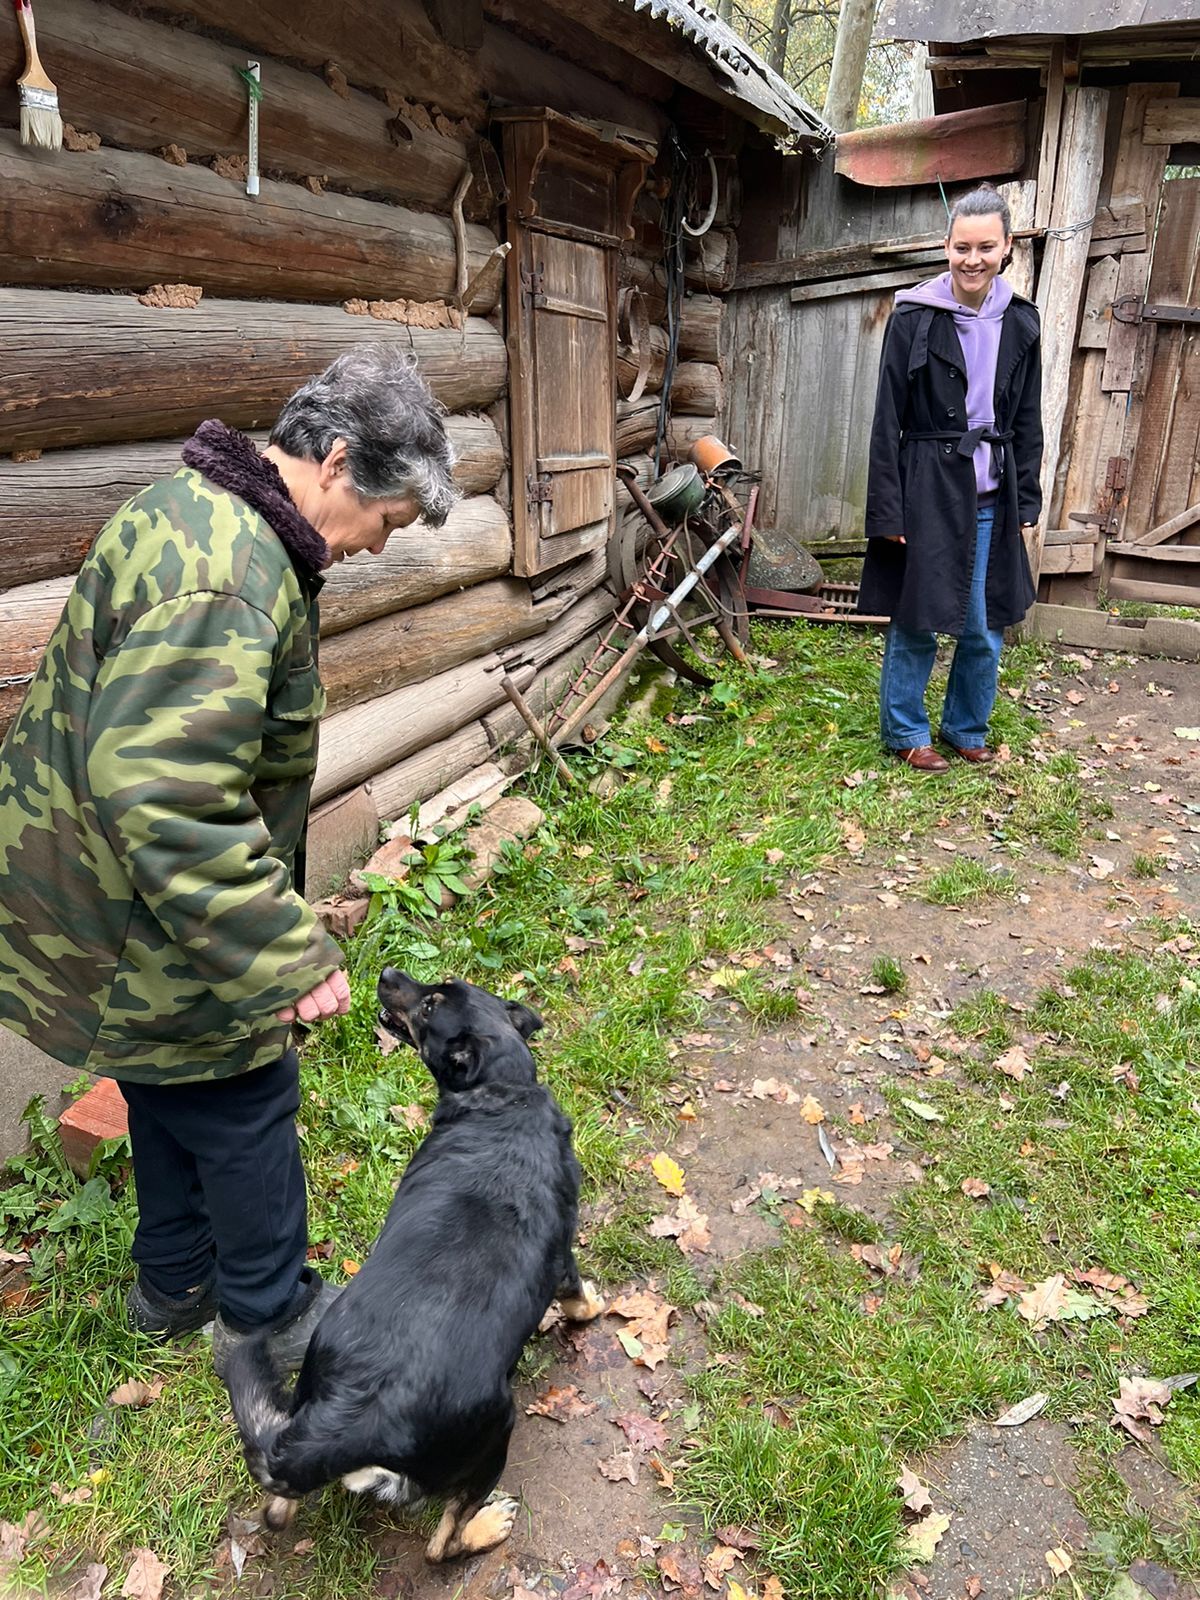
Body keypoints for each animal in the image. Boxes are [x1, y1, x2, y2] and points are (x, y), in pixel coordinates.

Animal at [222, 966, 604, 1555]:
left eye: (431, 1004)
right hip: (495, 1437)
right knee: (440, 1545)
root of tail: (349, 1415)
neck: (502, 1093)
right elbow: (580, 1300)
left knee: (277, 1510)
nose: (385, 972)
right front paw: (595, 1308)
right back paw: (485, 1528)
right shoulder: (562, 1258)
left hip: (303, 1399)